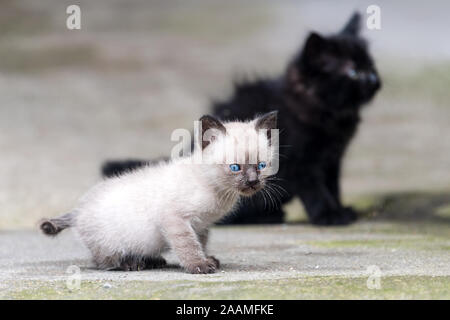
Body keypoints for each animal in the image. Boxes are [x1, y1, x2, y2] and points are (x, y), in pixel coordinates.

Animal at [39, 112, 278, 272]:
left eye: (261, 166)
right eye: (235, 167)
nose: (253, 181)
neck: (217, 191)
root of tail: (78, 210)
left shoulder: (201, 225)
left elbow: (199, 242)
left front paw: (207, 259)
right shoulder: (175, 219)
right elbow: (187, 245)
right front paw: (199, 265)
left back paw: (152, 260)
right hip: (110, 243)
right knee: (102, 262)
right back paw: (132, 263)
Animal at [102, 13, 380, 225]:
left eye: (371, 66)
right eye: (353, 71)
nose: (376, 80)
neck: (330, 114)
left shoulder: (333, 159)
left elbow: (333, 185)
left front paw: (341, 209)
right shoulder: (301, 160)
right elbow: (316, 188)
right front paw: (330, 215)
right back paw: (269, 216)